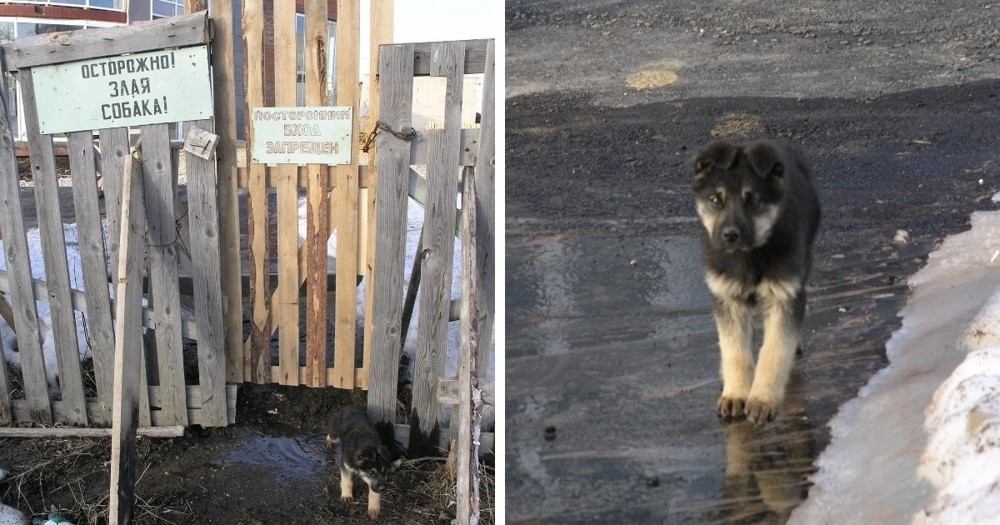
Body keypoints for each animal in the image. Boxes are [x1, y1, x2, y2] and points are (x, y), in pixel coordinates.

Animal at [692, 139, 824, 426]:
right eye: (715, 200)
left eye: (753, 200)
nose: (730, 235)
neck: (750, 256)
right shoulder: (726, 298)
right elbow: (734, 350)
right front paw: (736, 394)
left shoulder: (785, 294)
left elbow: (774, 350)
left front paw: (763, 400)